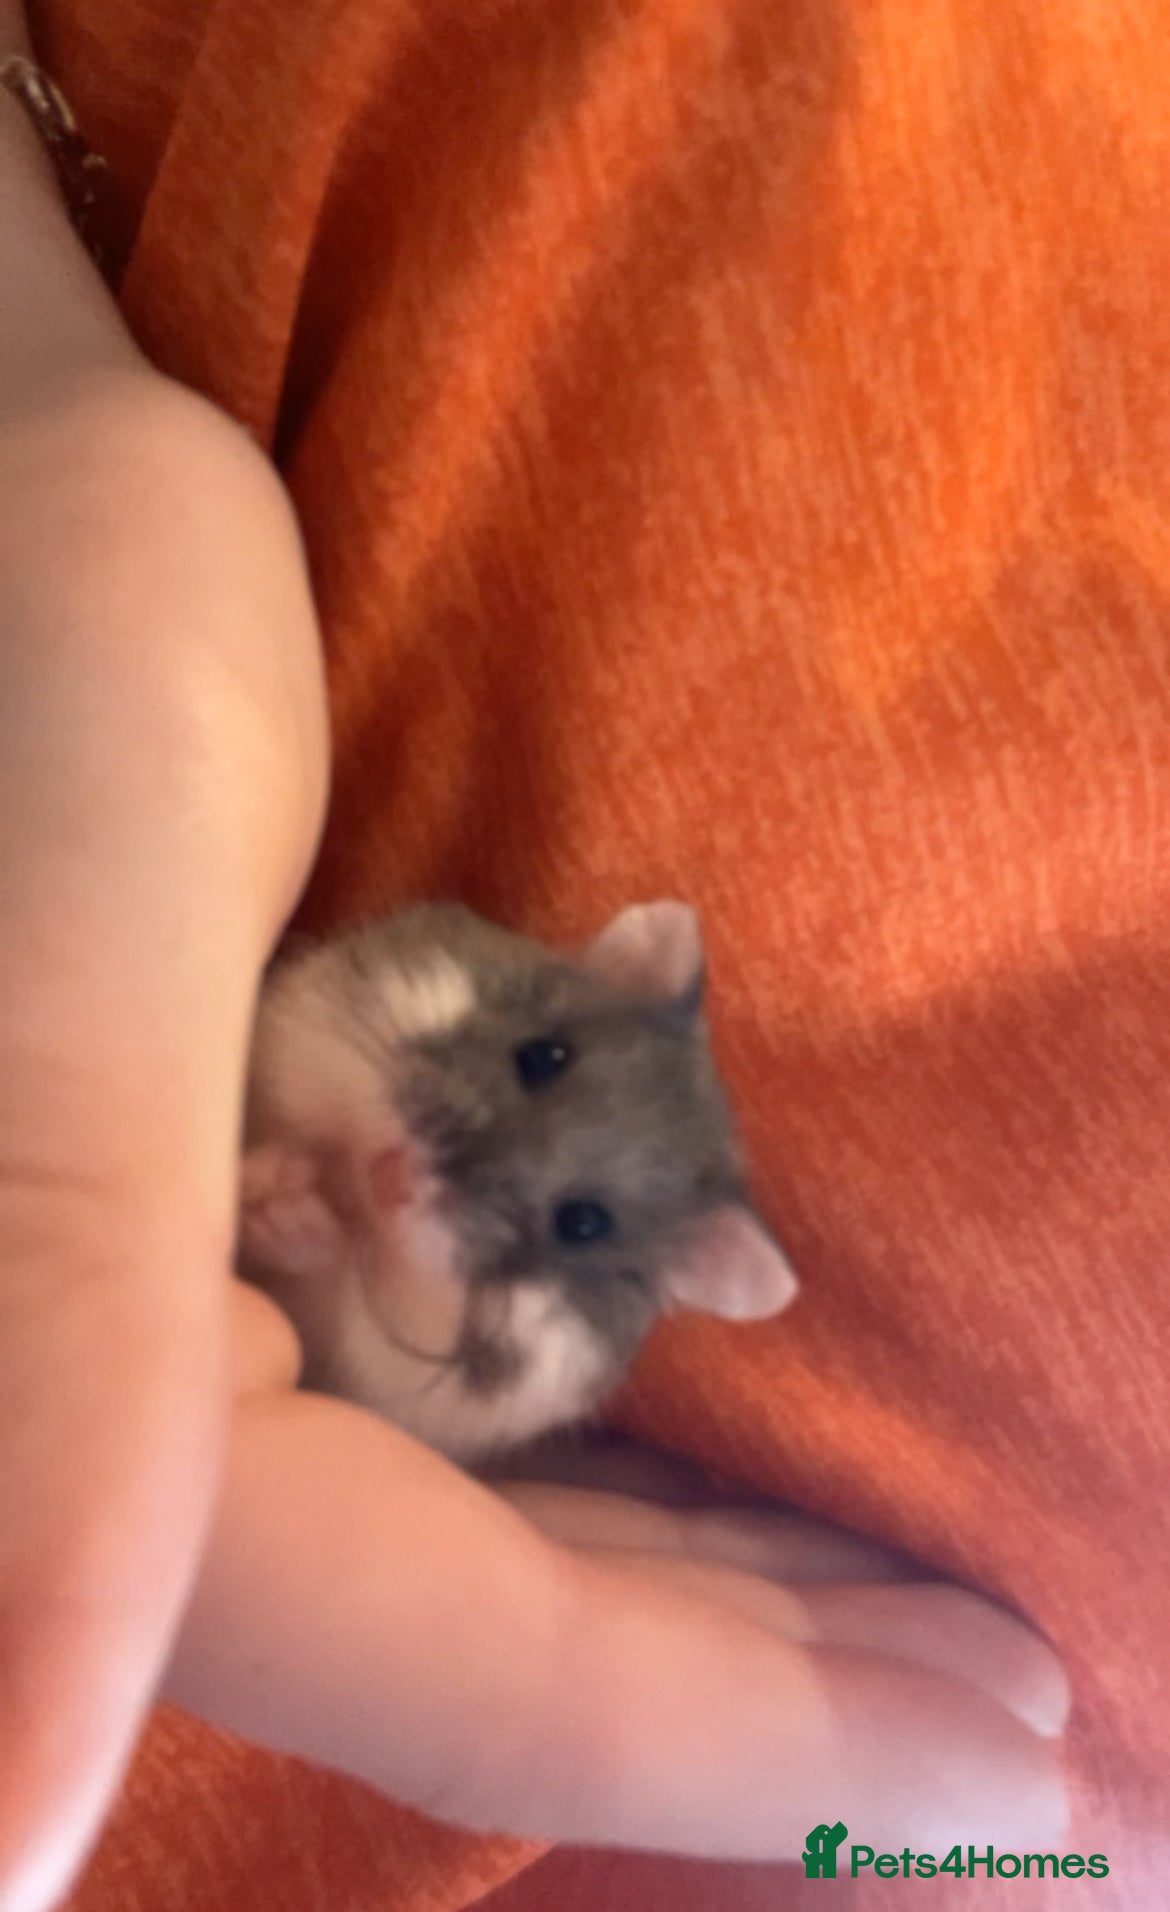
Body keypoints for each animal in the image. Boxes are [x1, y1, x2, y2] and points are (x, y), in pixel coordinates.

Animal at [238, 900, 797, 1464]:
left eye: (583, 1224)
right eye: (544, 1055)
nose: (392, 1176)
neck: (355, 1201)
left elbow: (325, 1277)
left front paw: (288, 1209)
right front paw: (279, 1175)